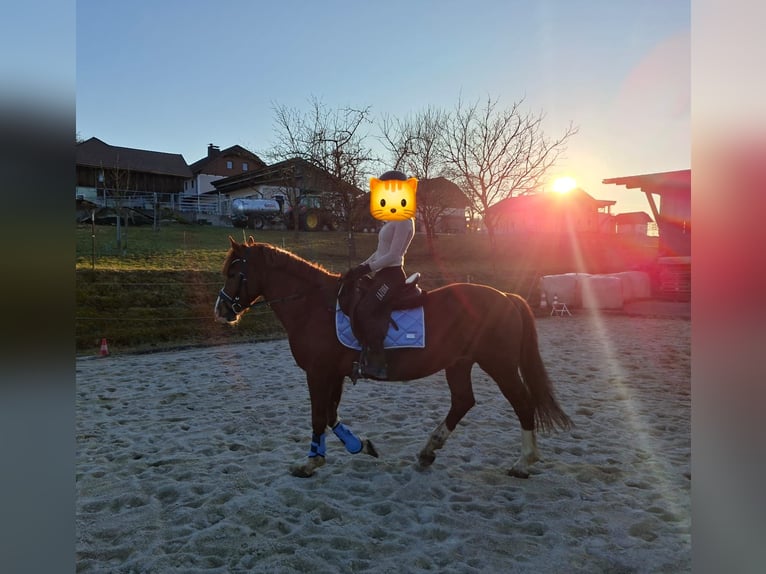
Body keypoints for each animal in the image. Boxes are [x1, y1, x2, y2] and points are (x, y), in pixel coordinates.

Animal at [214, 236, 571, 478]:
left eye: (233, 273)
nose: (220, 311)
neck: (313, 306)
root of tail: (507, 296)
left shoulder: (317, 372)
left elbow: (318, 417)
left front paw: (310, 462)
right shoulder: (334, 373)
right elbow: (330, 415)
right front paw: (360, 446)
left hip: (499, 363)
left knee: (522, 402)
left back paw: (523, 462)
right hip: (459, 363)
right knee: (463, 401)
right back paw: (428, 451)